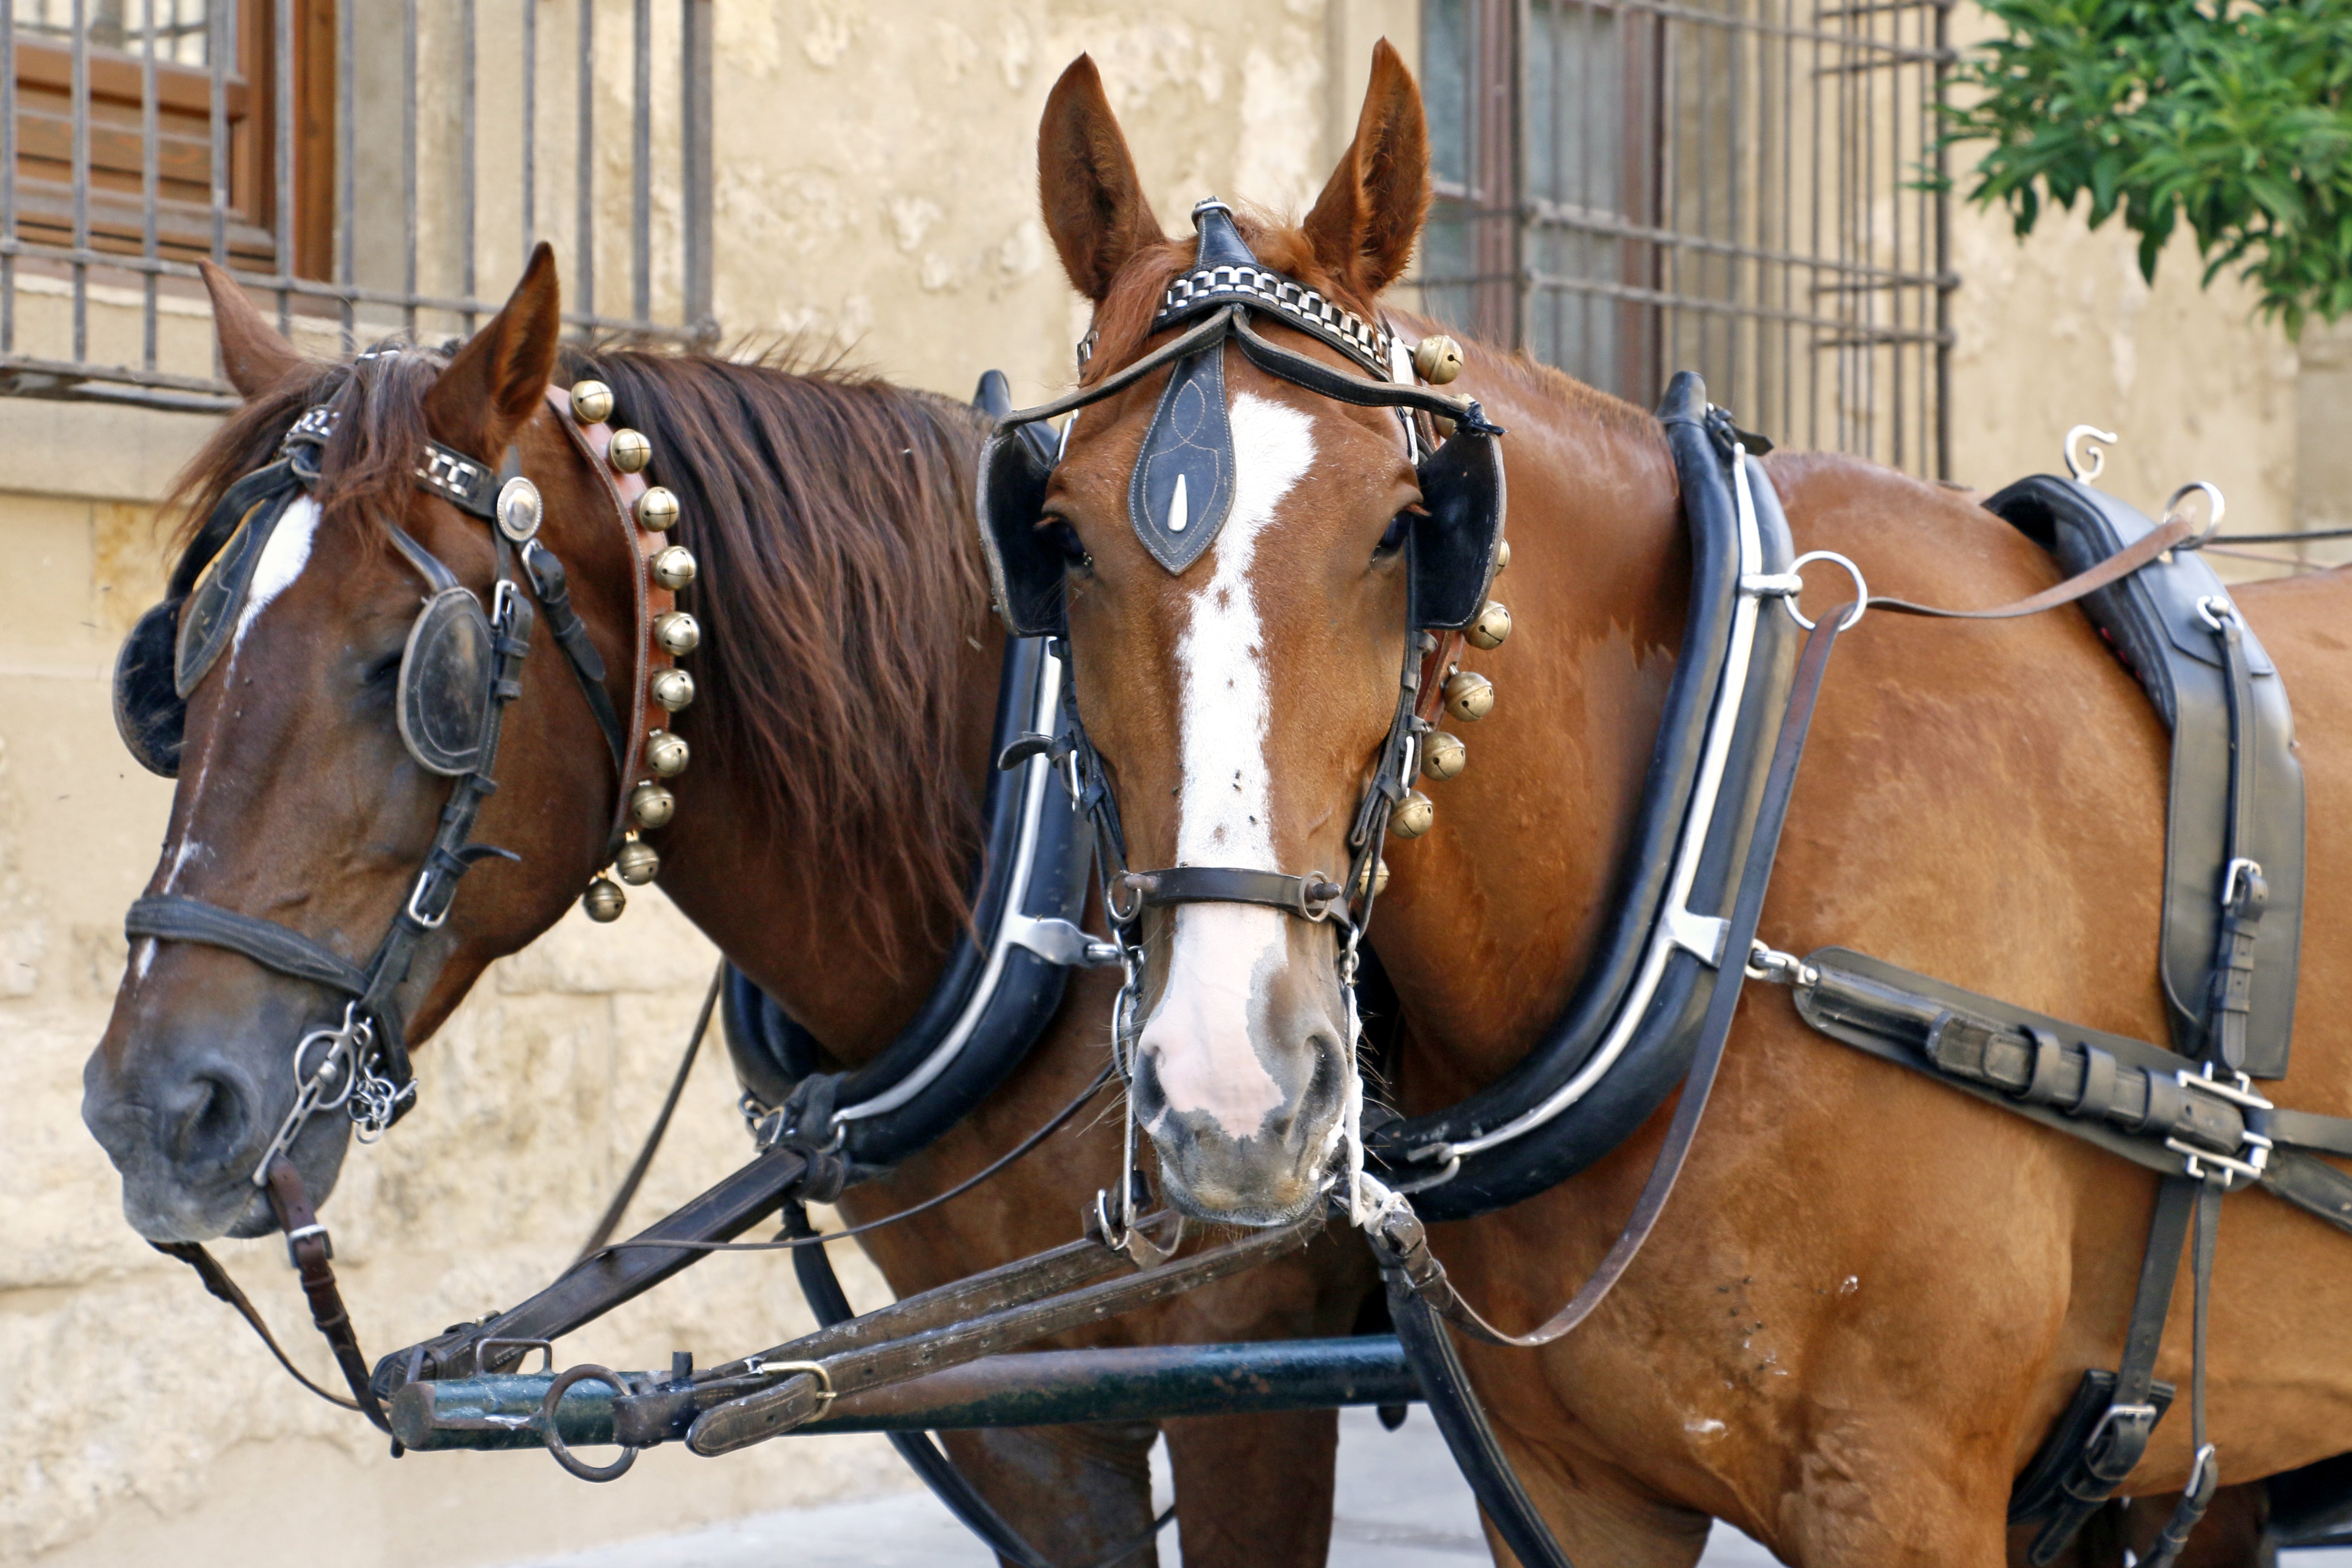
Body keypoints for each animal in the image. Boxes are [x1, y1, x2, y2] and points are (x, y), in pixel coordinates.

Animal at [1020, 43, 2352, 1568]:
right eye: (1059, 537)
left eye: (1407, 527)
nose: (1233, 1088)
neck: (1714, 877)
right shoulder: (1568, 1491)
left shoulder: (1903, 1492)